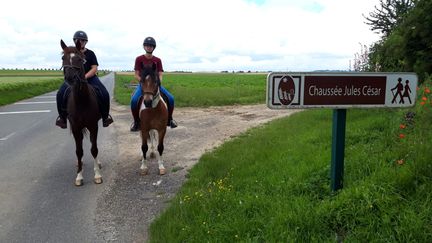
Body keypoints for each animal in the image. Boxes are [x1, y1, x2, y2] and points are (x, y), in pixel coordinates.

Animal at [60, 39, 102, 186]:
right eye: (63, 58)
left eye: (79, 59)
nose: (70, 77)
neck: (81, 100)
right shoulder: (76, 127)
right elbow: (79, 151)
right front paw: (79, 176)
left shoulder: (93, 125)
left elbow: (94, 149)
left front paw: (97, 175)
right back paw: (81, 164)